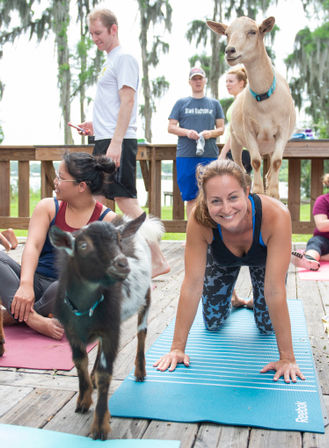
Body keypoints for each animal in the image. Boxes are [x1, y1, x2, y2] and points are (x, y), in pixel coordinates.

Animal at [50, 212, 163, 440]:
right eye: (83, 245)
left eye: (118, 241)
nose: (122, 264)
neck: (85, 309)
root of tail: (125, 221)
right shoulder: (72, 331)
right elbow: (79, 361)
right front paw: (83, 401)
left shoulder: (111, 330)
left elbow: (105, 374)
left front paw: (100, 426)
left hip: (146, 296)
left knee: (142, 333)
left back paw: (140, 371)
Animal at [208, 16, 294, 198]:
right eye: (227, 33)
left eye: (253, 31)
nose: (230, 51)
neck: (265, 100)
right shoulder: (249, 130)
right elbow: (255, 161)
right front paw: (258, 191)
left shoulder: (282, 130)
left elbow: (277, 162)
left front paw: (274, 194)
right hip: (235, 141)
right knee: (240, 167)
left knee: (270, 168)